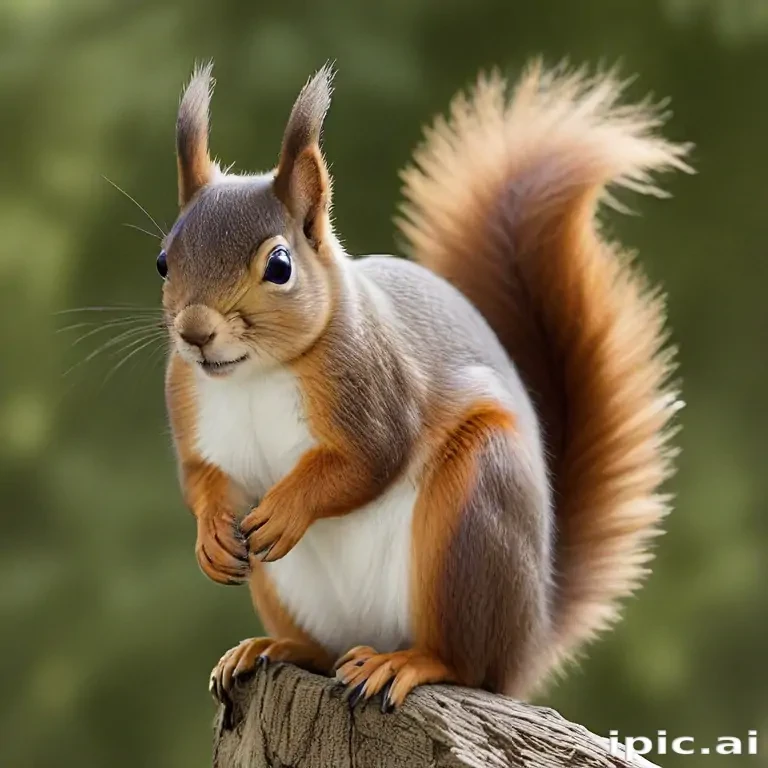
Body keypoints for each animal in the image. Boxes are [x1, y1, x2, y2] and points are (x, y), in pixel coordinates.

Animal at [160, 60, 690, 712]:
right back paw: (274, 648)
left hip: (473, 524)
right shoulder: (188, 403)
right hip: (290, 593)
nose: (194, 333)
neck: (254, 374)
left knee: (463, 663)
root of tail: (529, 640)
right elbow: (201, 479)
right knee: (322, 650)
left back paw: (406, 663)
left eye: (280, 266)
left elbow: (368, 461)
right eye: (163, 261)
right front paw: (211, 535)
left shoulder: (376, 386)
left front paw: (285, 509)